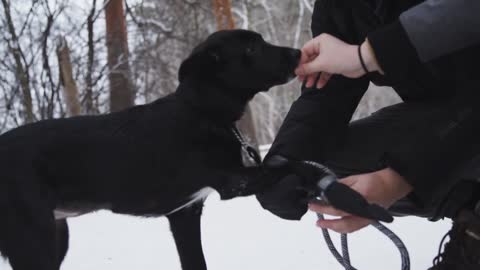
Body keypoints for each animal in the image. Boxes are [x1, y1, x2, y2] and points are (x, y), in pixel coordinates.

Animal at [0, 29, 300, 270]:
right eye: (251, 48)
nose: (298, 53)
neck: (201, 111)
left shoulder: (185, 214)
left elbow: (196, 262)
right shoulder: (232, 180)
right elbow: (289, 165)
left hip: (55, 234)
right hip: (33, 238)